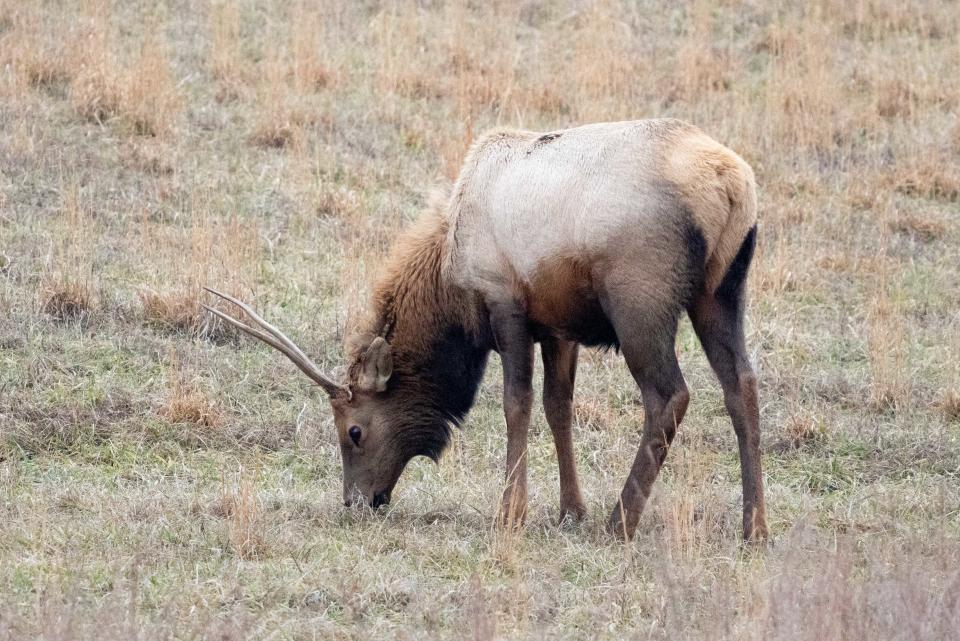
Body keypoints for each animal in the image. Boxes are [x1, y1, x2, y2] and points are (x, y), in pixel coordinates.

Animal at [206, 117, 768, 536]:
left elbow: (516, 405)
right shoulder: (557, 326)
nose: (358, 500)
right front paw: (569, 509)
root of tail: (732, 185)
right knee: (742, 384)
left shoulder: (506, 306)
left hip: (639, 304)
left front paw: (510, 512)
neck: (449, 281)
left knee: (669, 396)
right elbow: (557, 407)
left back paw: (621, 521)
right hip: (722, 293)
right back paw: (754, 524)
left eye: (355, 430)